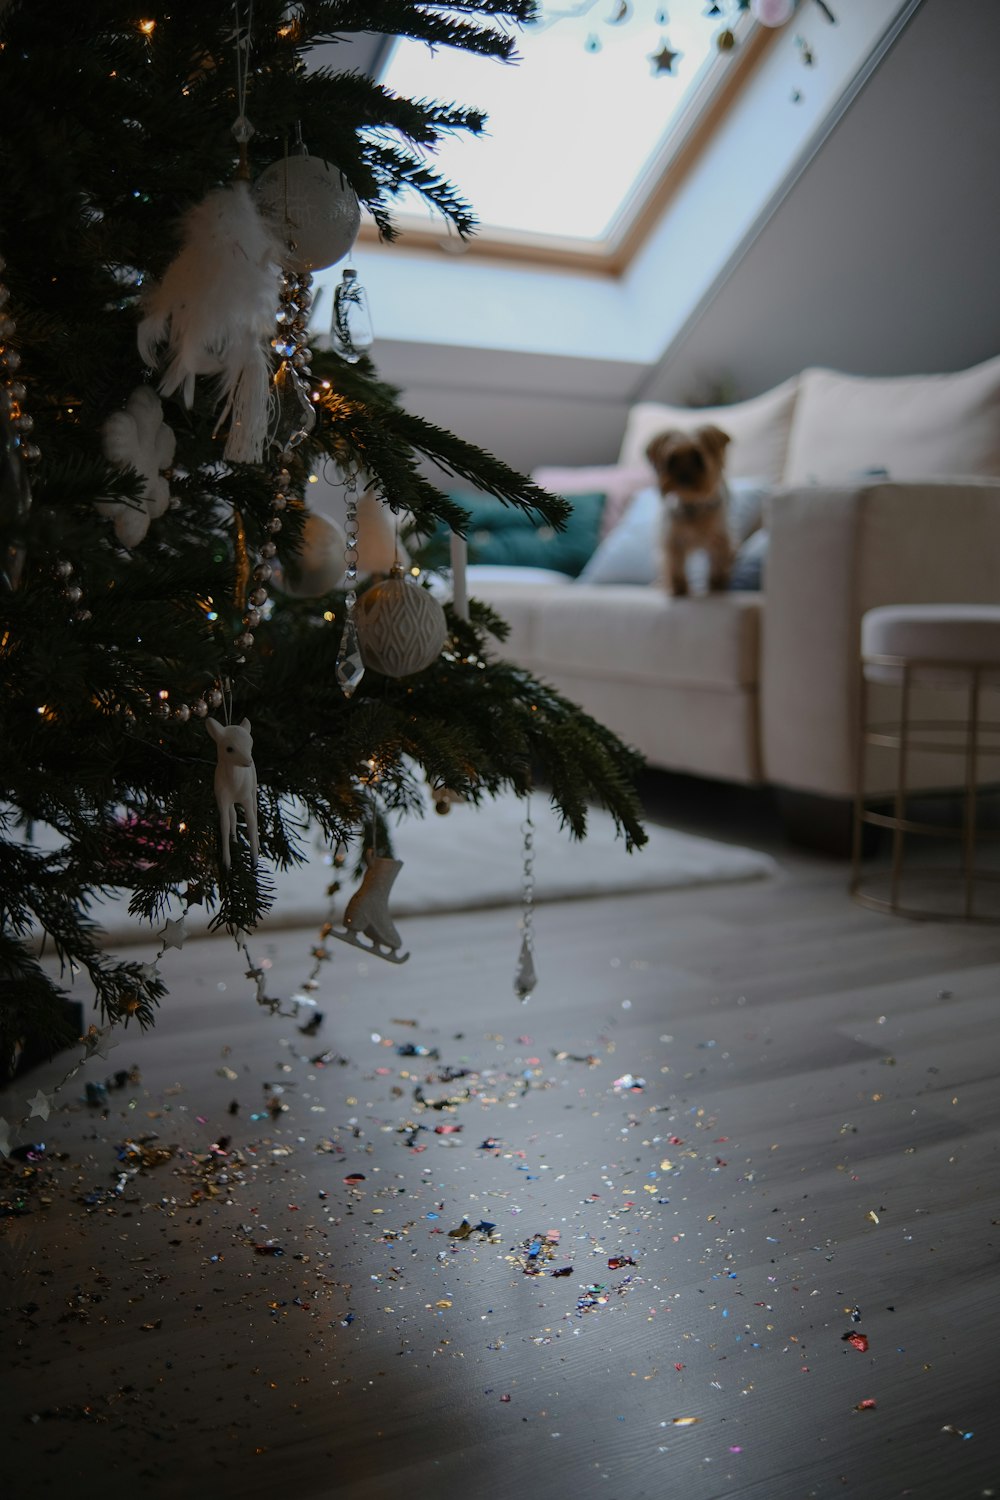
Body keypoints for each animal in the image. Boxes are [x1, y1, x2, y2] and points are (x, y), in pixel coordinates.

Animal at [644, 423, 731, 597]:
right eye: (672, 460)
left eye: (698, 458)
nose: (683, 476)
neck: (691, 502)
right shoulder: (673, 539)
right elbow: (675, 565)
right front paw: (678, 589)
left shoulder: (718, 538)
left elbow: (718, 563)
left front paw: (716, 587)